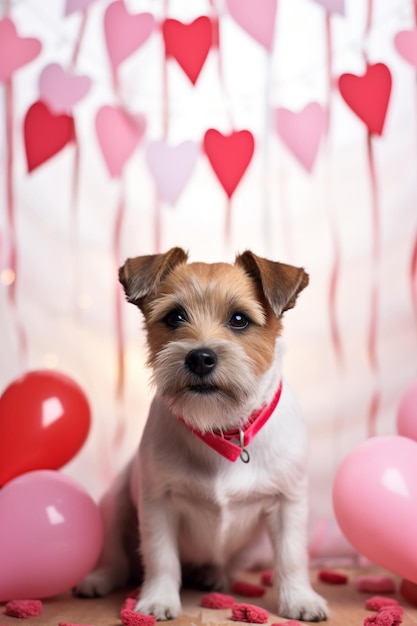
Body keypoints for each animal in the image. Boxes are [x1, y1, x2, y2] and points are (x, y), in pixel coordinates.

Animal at [75, 247, 328, 620]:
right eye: (174, 317)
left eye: (239, 319)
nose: (200, 358)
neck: (222, 427)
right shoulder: (158, 503)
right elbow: (161, 557)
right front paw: (158, 599)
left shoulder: (288, 503)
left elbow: (291, 556)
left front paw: (299, 599)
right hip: (114, 503)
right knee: (118, 561)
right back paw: (99, 579)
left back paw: (212, 575)